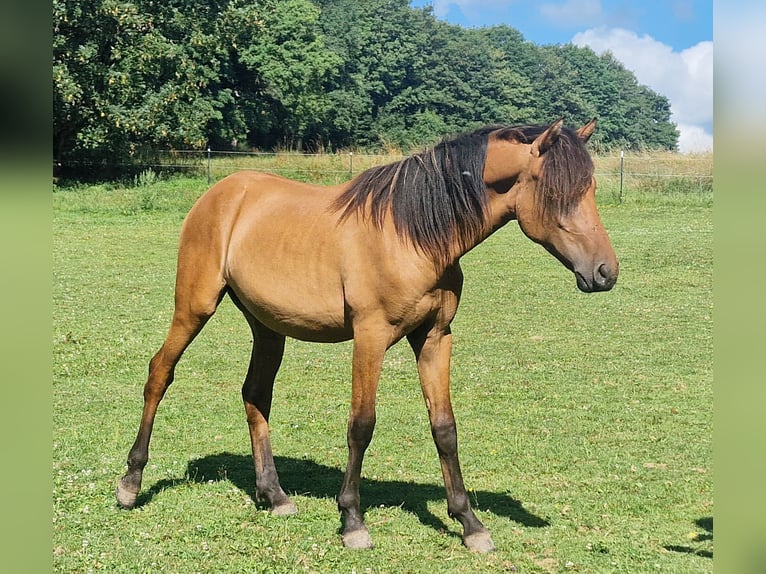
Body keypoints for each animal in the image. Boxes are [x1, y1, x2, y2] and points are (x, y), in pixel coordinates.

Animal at [116, 118, 618, 553]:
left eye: (591, 189)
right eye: (559, 193)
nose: (605, 272)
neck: (414, 233)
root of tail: (220, 193)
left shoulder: (435, 338)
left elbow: (445, 428)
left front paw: (470, 524)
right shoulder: (370, 337)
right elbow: (361, 425)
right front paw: (352, 521)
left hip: (268, 327)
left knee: (255, 395)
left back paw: (274, 495)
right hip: (194, 307)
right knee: (159, 373)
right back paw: (131, 484)